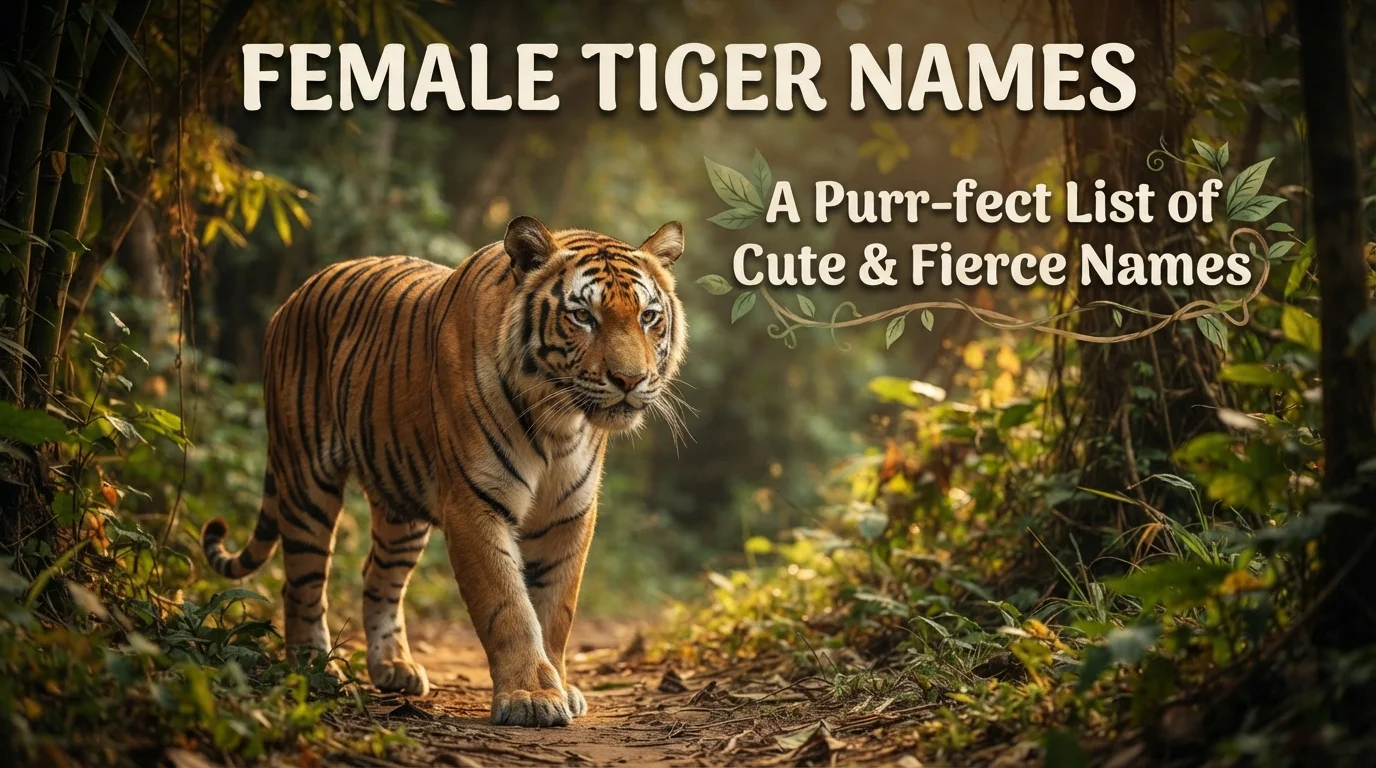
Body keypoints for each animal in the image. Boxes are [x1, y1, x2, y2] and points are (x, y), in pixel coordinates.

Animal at [200, 216, 687, 727]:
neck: (559, 422)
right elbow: (508, 606)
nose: (630, 380)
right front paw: (531, 695)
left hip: (400, 505)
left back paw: (394, 667)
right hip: (305, 479)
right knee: (303, 582)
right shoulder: (475, 503)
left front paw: (559, 683)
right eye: (583, 317)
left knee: (378, 576)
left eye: (648, 317)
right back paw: (314, 669)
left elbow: (556, 609)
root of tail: (293, 297)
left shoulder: (568, 514)